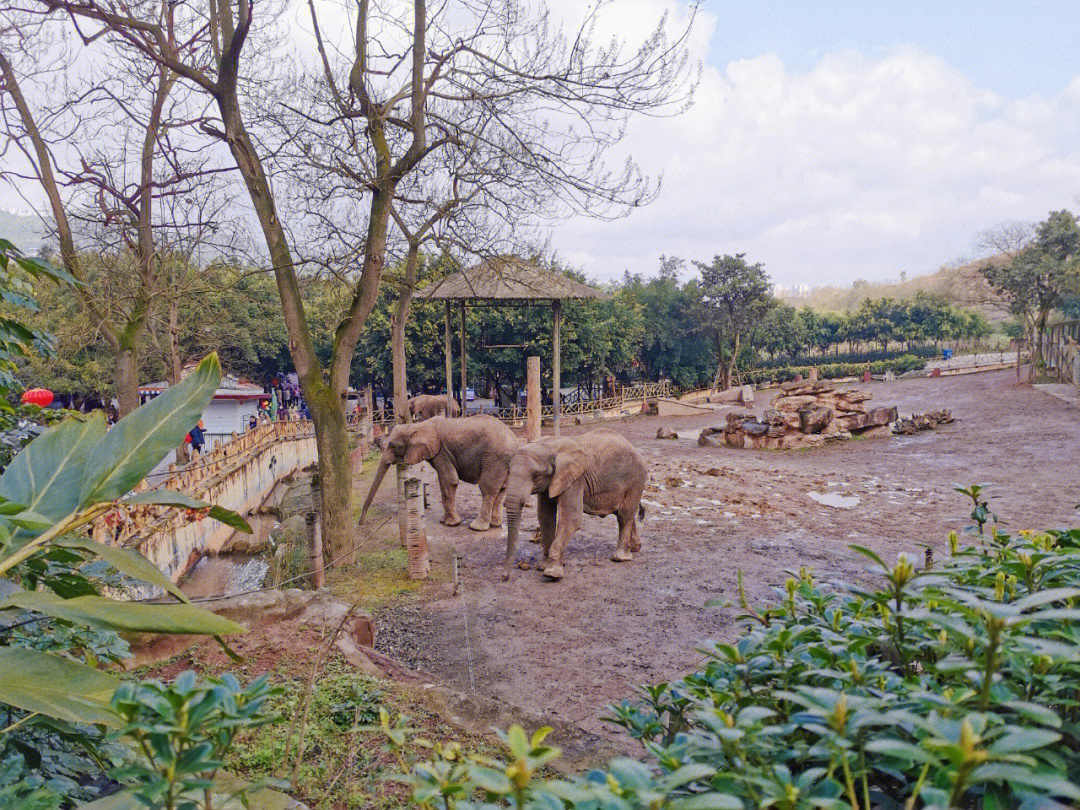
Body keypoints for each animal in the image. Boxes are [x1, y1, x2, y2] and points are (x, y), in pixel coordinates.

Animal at [358, 414, 518, 535]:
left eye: (392, 445)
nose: (360, 524)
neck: (417, 426)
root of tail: (514, 440)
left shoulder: (441, 451)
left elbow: (450, 480)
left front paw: (451, 524)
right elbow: (444, 482)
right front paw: (444, 520)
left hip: (494, 458)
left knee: (487, 489)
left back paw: (476, 527)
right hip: (504, 463)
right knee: (502, 489)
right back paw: (495, 524)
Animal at [501, 427, 643, 578]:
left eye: (535, 476)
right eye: (508, 471)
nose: (505, 577)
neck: (549, 444)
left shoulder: (575, 480)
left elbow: (571, 519)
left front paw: (552, 573)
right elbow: (545, 517)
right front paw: (542, 566)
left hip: (635, 481)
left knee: (624, 516)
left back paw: (620, 558)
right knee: (625, 513)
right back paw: (635, 548)